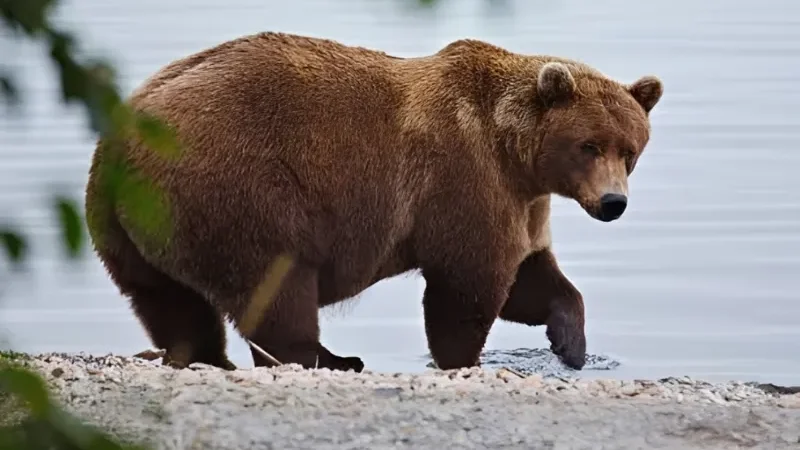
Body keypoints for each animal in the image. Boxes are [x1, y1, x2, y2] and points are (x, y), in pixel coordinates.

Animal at [84, 31, 663, 373]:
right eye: (589, 146)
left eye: (630, 149)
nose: (613, 202)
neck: (513, 151)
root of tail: (120, 140)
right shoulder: (465, 180)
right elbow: (469, 286)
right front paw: (461, 360)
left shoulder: (522, 203)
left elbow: (532, 278)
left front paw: (570, 343)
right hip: (237, 190)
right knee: (276, 286)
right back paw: (330, 358)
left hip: (131, 228)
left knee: (170, 302)